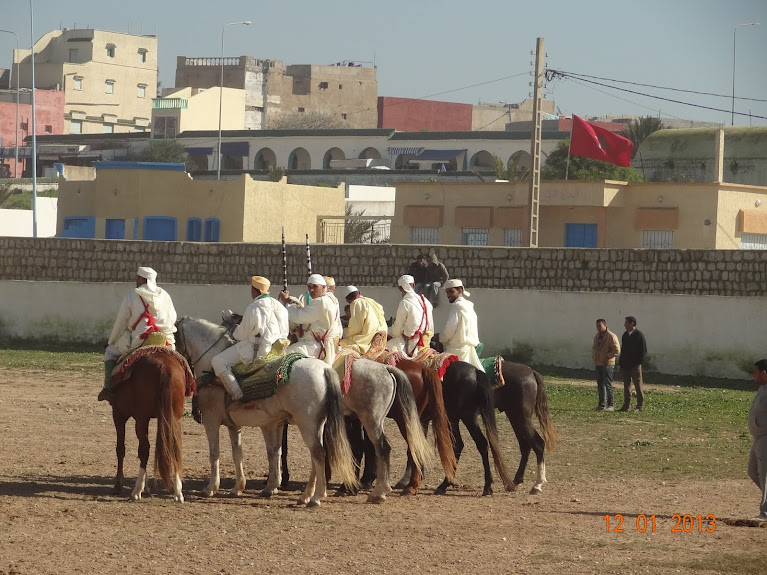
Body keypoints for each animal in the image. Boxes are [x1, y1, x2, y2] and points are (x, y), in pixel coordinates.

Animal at [108, 348, 188, 502]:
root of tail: (165, 366)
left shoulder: (119, 414)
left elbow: (120, 449)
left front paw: (118, 485)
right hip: (175, 418)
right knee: (175, 449)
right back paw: (178, 492)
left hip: (141, 419)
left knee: (144, 450)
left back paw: (136, 491)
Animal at [177, 316, 360, 508]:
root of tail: (325, 369)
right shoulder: (236, 425)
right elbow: (240, 453)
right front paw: (239, 487)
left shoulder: (211, 420)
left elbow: (214, 453)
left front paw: (210, 488)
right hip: (317, 424)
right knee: (315, 456)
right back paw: (306, 495)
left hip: (307, 424)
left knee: (318, 453)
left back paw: (316, 497)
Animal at [438, 362, 560, 498]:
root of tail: (532, 372)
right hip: (513, 416)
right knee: (525, 445)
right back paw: (515, 481)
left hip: (516, 417)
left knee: (538, 444)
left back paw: (537, 484)